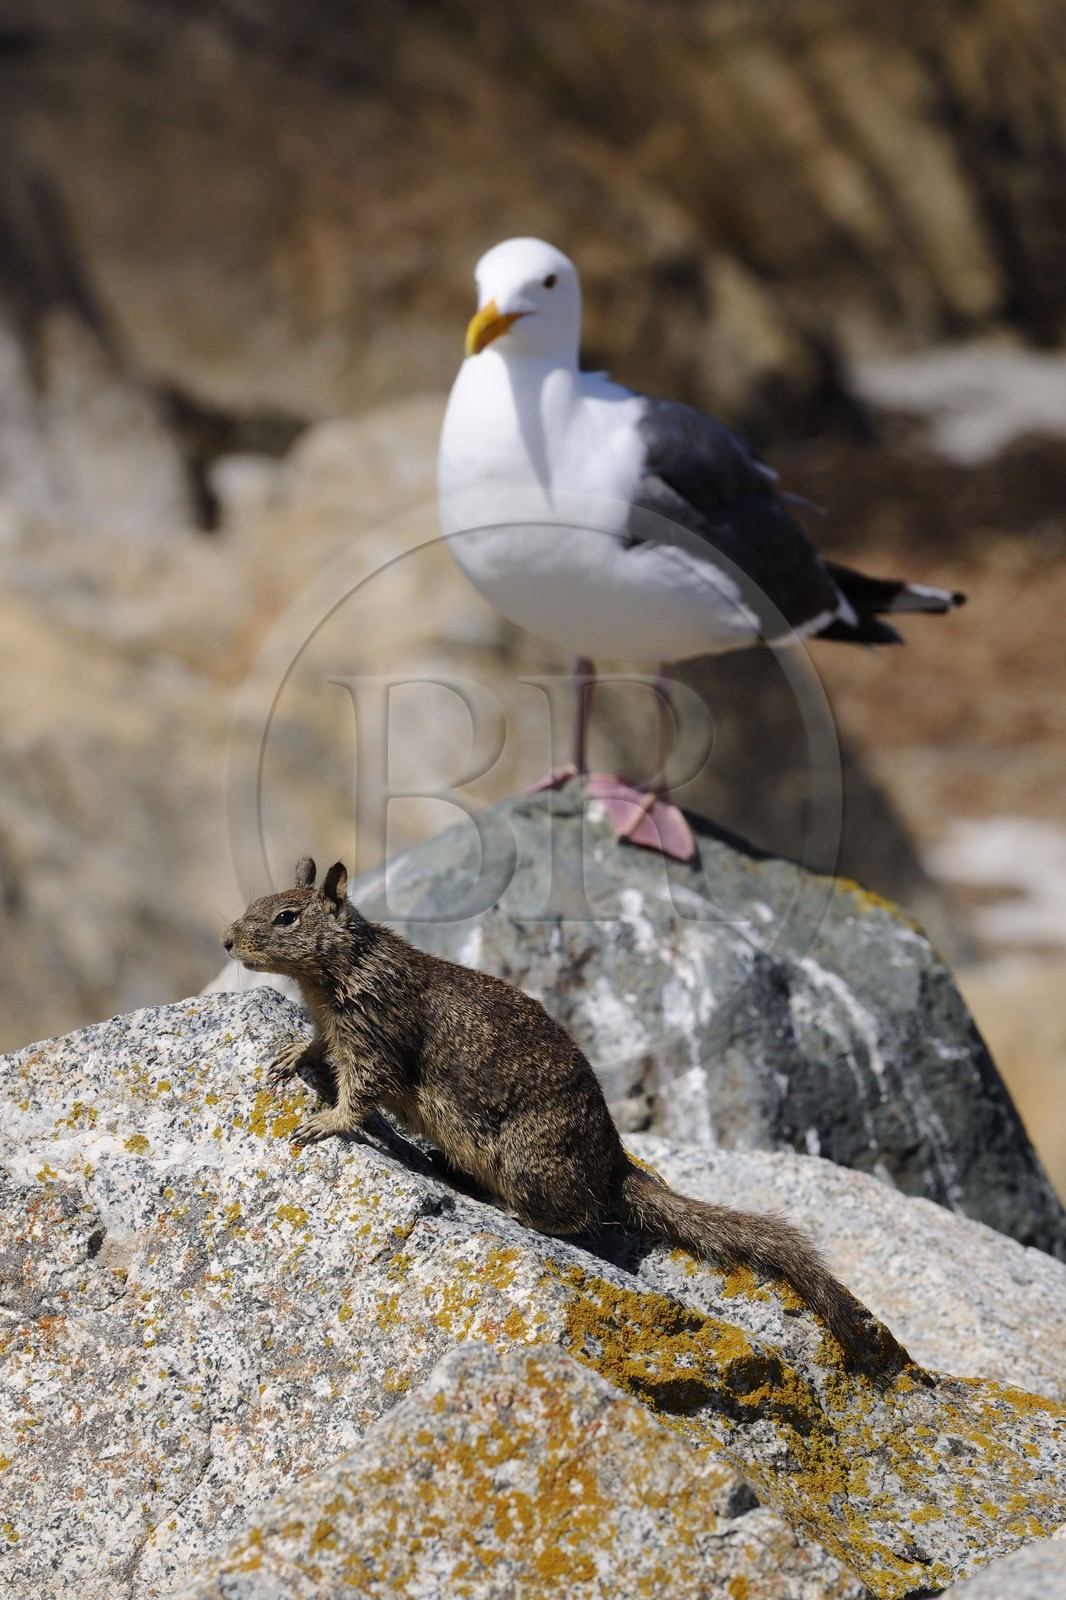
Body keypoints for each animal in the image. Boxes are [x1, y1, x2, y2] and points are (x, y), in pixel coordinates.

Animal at [222, 856, 899, 1368]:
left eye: (286, 916)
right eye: (257, 900)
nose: (227, 940)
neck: (341, 968)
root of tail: (614, 1165)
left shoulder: (373, 1040)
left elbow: (361, 1093)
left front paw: (324, 1122)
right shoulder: (332, 1027)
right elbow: (317, 1048)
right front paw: (288, 1057)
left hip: (528, 1161)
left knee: (577, 1219)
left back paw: (511, 1211)